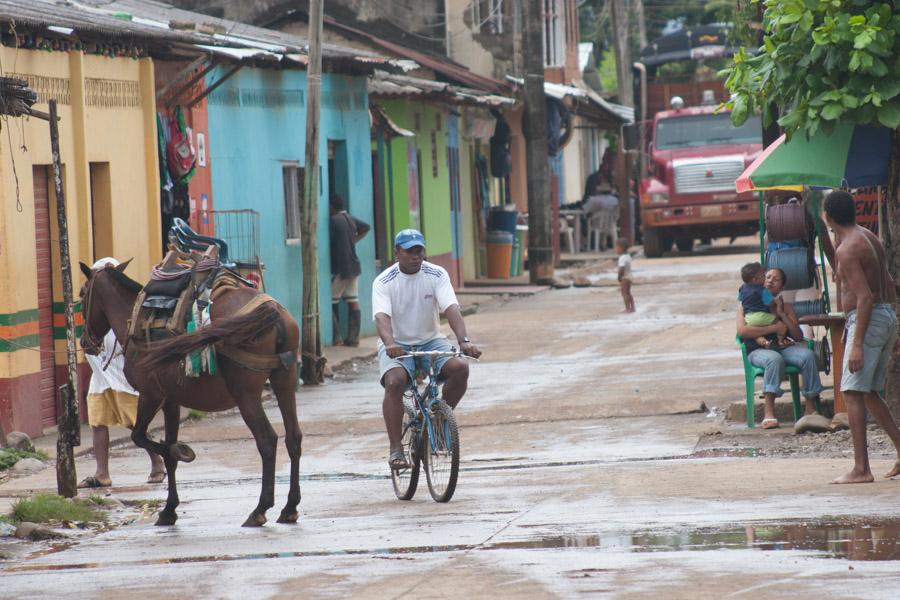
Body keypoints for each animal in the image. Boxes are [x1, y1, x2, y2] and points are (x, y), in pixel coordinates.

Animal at [78, 260, 302, 528]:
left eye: (81, 295)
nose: (85, 342)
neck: (133, 319)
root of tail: (272, 311)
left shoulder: (151, 395)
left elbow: (144, 439)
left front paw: (181, 454)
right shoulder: (172, 400)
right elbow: (168, 452)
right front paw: (169, 510)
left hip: (246, 395)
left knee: (267, 440)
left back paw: (260, 509)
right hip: (284, 381)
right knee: (294, 437)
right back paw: (289, 507)